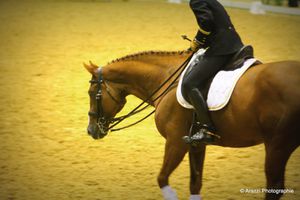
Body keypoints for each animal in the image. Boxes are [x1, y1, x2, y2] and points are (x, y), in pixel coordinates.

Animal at [84, 51, 300, 200]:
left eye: (92, 92)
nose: (91, 130)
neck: (166, 79)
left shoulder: (176, 143)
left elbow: (162, 179)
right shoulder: (196, 144)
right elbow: (195, 183)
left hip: (277, 146)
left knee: (274, 187)